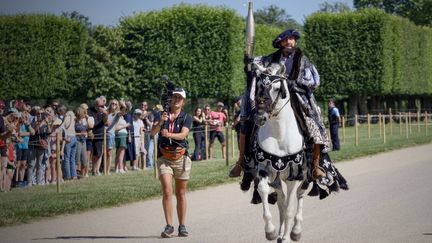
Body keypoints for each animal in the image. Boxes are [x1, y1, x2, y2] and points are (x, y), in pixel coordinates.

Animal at [250, 61, 310, 242]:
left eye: (277, 88)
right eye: (258, 86)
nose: (260, 116)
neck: (279, 135)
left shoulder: (293, 176)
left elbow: (290, 208)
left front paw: (287, 237)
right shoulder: (264, 170)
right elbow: (265, 191)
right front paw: (270, 230)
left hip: (305, 176)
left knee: (300, 194)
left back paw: (295, 231)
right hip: (277, 179)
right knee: (281, 200)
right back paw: (281, 232)